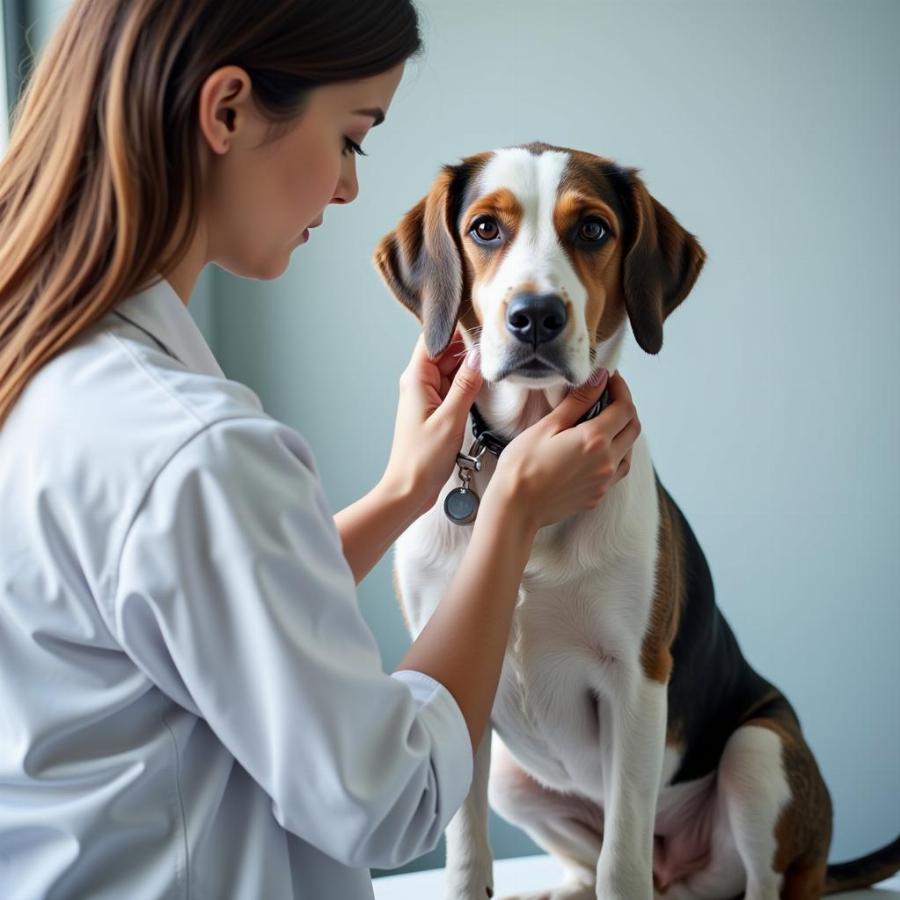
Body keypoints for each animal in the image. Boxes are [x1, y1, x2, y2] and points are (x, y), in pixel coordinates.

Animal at [370, 142, 896, 900]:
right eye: (484, 229)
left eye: (592, 229)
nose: (535, 315)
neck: (521, 458)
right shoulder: (453, 680)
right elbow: (470, 856)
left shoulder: (638, 680)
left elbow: (621, 864)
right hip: (511, 781)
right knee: (590, 866)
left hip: (758, 752)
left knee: (746, 870)